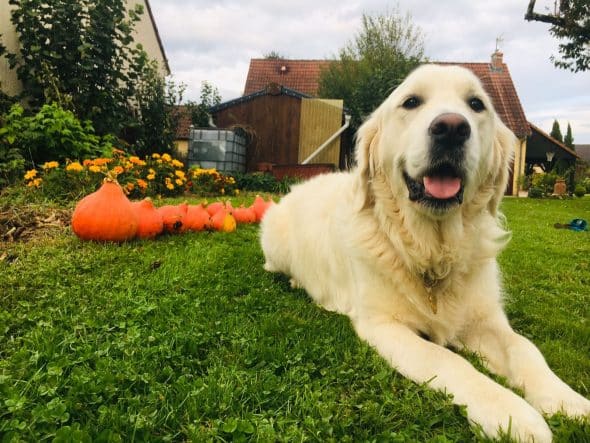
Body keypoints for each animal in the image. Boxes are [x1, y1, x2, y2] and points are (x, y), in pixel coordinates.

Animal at [264, 64, 590, 442]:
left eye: (476, 104)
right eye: (411, 102)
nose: (451, 128)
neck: (432, 249)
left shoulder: (485, 320)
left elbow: (525, 348)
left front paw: (566, 399)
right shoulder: (383, 325)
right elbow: (447, 359)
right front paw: (511, 414)